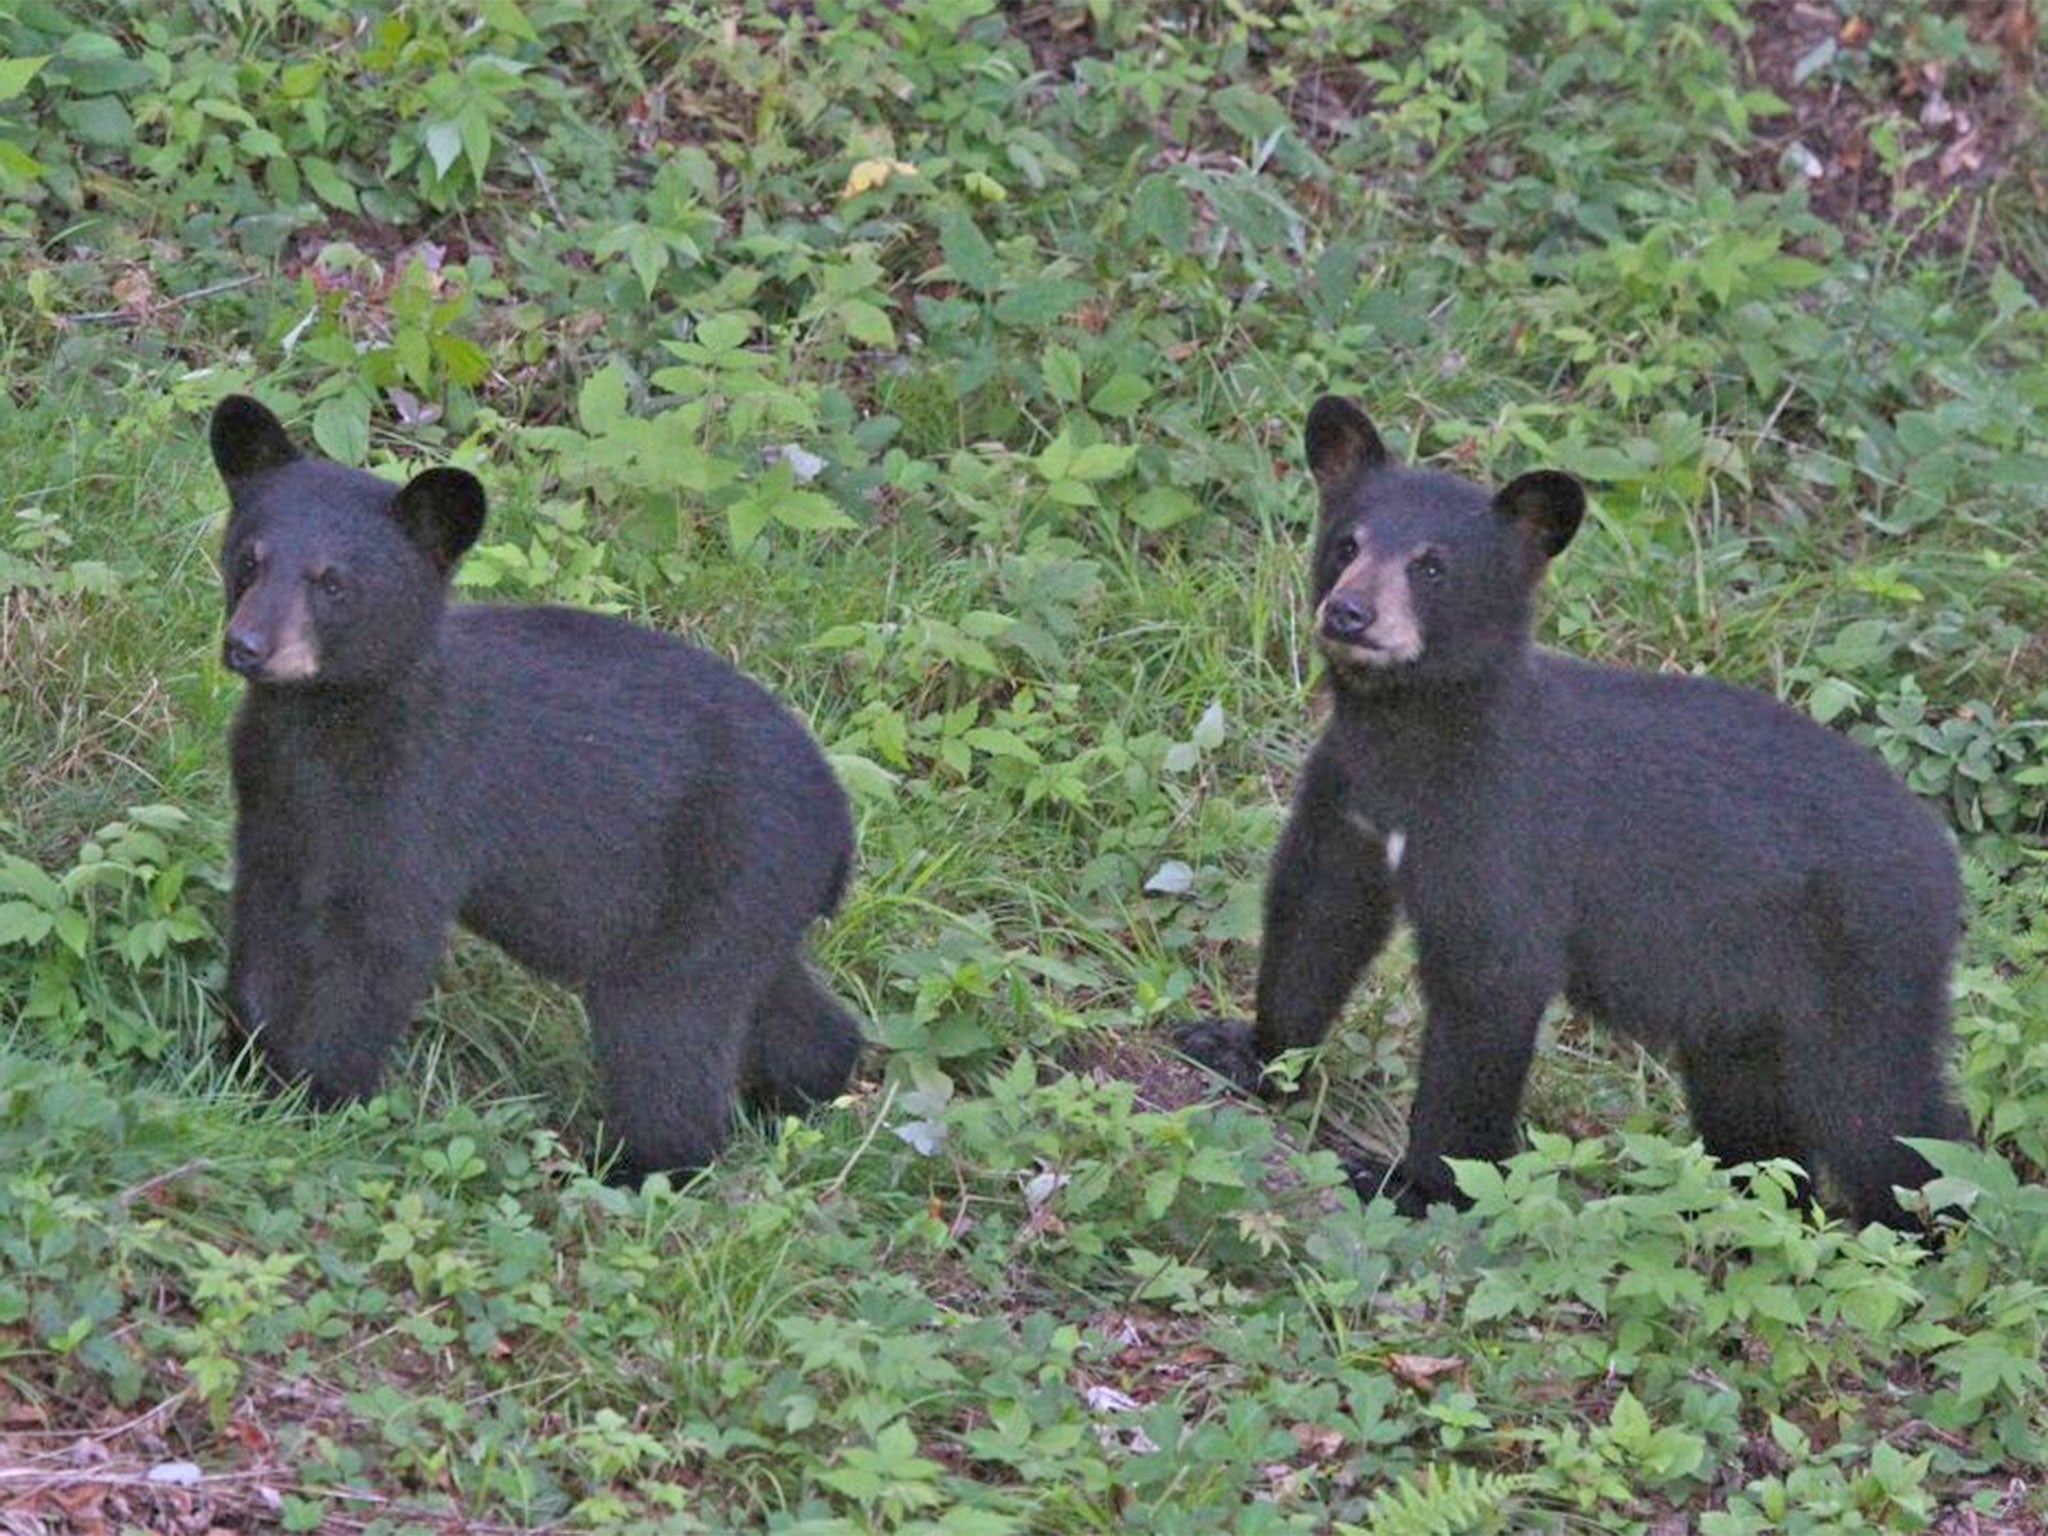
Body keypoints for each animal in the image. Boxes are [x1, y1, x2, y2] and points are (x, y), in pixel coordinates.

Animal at [209, 394, 863, 1181]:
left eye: (332, 582)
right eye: (249, 560)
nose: (247, 646)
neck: (325, 724)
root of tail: (839, 832)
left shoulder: (419, 801)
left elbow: (376, 950)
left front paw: (314, 1096)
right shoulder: (272, 799)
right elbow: (265, 926)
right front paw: (243, 1064)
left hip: (718, 881)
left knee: (666, 1031)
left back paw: (644, 1168)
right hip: (747, 910)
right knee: (776, 1004)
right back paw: (807, 1091)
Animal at [1180, 395, 1968, 1232]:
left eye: (1433, 565)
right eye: (1346, 543)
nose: (1352, 613)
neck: (1411, 735)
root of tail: (1943, 853)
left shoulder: (1506, 825)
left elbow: (1490, 983)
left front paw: (1415, 1183)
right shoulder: (1349, 797)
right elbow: (1316, 918)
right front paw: (1243, 1049)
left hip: (1863, 958)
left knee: (1884, 1113)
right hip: (1743, 999)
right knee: (1754, 1112)